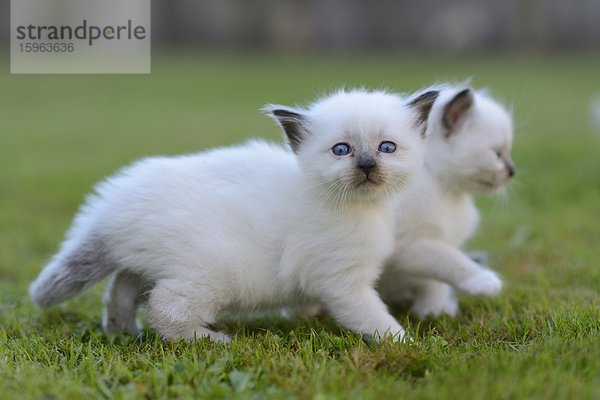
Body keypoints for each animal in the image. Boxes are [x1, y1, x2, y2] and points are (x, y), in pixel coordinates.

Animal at [29, 89, 432, 342]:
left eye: (386, 148)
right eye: (341, 150)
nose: (366, 165)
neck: (364, 209)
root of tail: (111, 205)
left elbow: (308, 301)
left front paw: (305, 316)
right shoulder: (344, 282)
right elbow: (373, 317)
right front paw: (405, 343)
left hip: (147, 262)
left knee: (121, 290)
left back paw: (123, 330)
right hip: (210, 272)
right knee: (163, 308)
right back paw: (211, 339)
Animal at [380, 87, 516, 318]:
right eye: (498, 153)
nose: (512, 171)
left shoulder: (441, 238)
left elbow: (435, 283)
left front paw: (435, 311)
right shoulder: (408, 245)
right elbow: (449, 259)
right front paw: (483, 281)